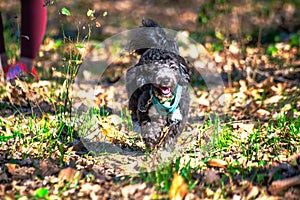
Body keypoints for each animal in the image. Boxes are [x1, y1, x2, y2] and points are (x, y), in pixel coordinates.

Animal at [125, 19, 191, 150]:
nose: (165, 80)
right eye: (155, 69)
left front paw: (166, 148)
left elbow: (172, 134)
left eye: (173, 67)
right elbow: (149, 127)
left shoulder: (179, 116)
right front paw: (151, 141)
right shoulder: (146, 112)